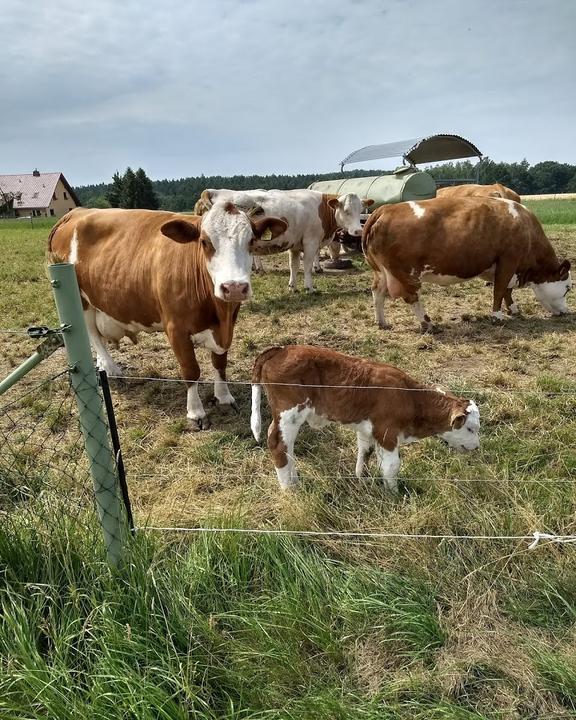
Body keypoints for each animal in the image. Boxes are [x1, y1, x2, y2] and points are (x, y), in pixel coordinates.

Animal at [49, 201, 288, 428]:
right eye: (204, 242)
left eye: (251, 241)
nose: (235, 287)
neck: (219, 314)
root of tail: (75, 212)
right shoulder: (176, 329)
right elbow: (191, 370)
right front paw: (196, 412)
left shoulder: (227, 326)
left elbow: (220, 362)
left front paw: (224, 397)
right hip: (81, 302)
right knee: (93, 336)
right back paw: (110, 367)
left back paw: (102, 365)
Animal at [198, 190, 374, 294]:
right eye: (346, 211)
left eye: (361, 210)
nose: (358, 231)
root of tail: (212, 191)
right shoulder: (310, 242)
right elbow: (307, 266)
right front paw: (309, 287)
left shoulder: (295, 244)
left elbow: (293, 265)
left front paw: (292, 286)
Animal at [252, 344, 482, 492]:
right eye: (471, 428)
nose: (477, 447)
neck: (410, 397)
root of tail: (282, 349)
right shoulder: (388, 433)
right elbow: (391, 467)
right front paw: (393, 494)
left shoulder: (368, 430)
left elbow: (366, 453)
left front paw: (362, 478)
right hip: (289, 414)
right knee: (277, 444)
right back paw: (289, 489)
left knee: (288, 446)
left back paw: (294, 481)